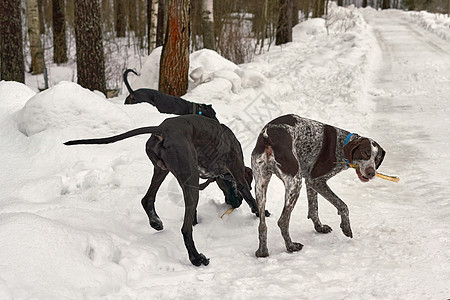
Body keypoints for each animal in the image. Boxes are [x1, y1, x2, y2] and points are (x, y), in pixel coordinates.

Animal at [65, 115, 266, 268]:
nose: (235, 204)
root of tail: (163, 129)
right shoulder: (237, 172)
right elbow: (250, 195)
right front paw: (261, 212)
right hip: (188, 176)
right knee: (185, 230)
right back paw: (196, 258)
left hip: (163, 170)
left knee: (147, 199)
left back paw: (156, 222)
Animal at [251, 113, 384, 256]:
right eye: (365, 153)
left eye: (377, 159)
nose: (371, 173)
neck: (342, 144)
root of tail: (268, 137)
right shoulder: (316, 181)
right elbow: (342, 205)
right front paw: (346, 227)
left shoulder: (309, 181)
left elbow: (314, 208)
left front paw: (319, 227)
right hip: (295, 183)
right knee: (283, 221)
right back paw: (291, 246)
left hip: (261, 185)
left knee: (262, 225)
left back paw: (262, 251)